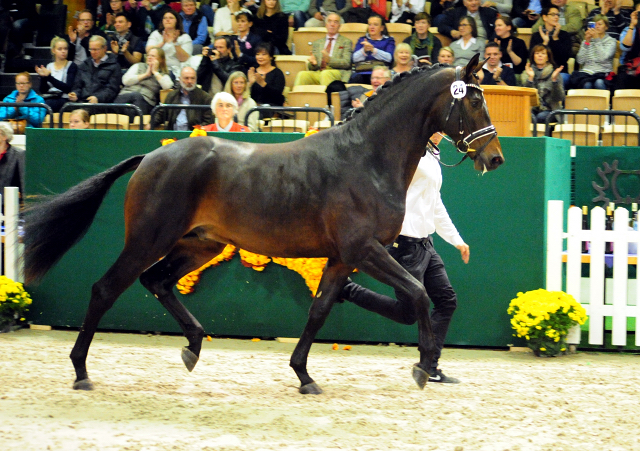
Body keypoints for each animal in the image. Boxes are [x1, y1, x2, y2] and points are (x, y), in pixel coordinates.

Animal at [26, 55, 504, 396]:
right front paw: (422, 367)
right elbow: (419, 293)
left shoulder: (340, 259)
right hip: (149, 239)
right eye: (474, 100)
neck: (366, 158)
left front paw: (304, 376)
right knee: (106, 289)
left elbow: (319, 311)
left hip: (199, 245)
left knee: (157, 281)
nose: (495, 158)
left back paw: (193, 345)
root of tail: (151, 156)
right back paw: (81, 371)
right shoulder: (364, 250)